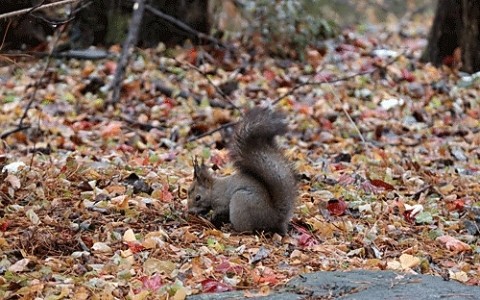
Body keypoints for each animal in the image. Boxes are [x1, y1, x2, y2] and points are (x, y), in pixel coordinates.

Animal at [188, 106, 296, 236]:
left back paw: (232, 230)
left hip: (241, 202)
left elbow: (222, 208)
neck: (213, 189)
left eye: (197, 197)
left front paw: (212, 216)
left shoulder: (222, 200)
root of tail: (274, 218)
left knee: (246, 230)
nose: (189, 211)